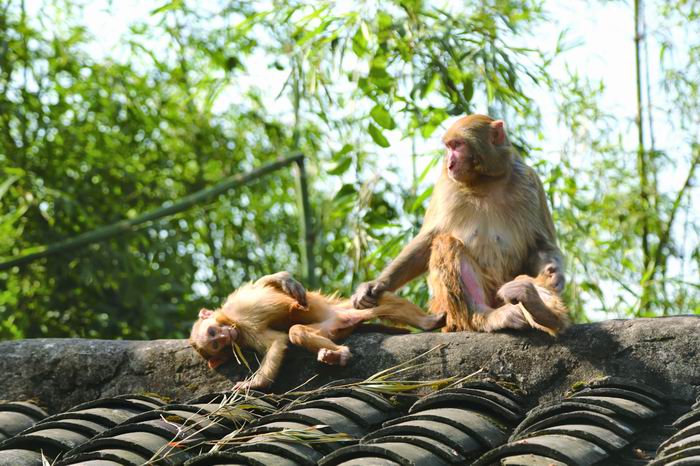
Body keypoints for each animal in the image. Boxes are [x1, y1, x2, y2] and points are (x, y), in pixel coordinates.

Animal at [191, 272, 442, 392]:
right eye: (216, 345)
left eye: (213, 332)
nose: (224, 336)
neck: (231, 320)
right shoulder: (244, 334)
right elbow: (278, 341)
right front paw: (256, 384)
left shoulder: (236, 313)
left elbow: (265, 284)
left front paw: (286, 280)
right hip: (333, 325)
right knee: (297, 332)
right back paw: (337, 355)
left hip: (340, 310)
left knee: (380, 302)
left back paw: (427, 321)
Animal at [350, 114, 568, 334]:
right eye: (449, 147)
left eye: (457, 145)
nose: (450, 162)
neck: (485, 181)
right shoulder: (445, 185)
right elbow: (427, 242)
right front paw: (376, 285)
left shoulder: (530, 183)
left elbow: (541, 246)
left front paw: (555, 275)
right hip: (448, 310)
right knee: (446, 243)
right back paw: (485, 316)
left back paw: (539, 308)